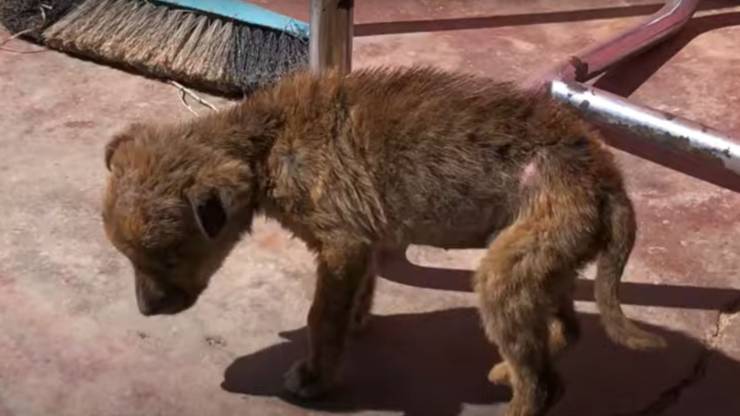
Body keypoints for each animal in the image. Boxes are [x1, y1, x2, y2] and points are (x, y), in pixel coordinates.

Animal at [99, 66, 664, 414]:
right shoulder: (361, 242)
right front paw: (358, 322)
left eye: (169, 256)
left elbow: (321, 319)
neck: (266, 140)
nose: (145, 311)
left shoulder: (342, 242)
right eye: (129, 256)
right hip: (545, 260)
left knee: (542, 386)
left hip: (506, 273)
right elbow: (353, 297)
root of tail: (608, 178)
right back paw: (509, 368)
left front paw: (315, 376)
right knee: (565, 335)